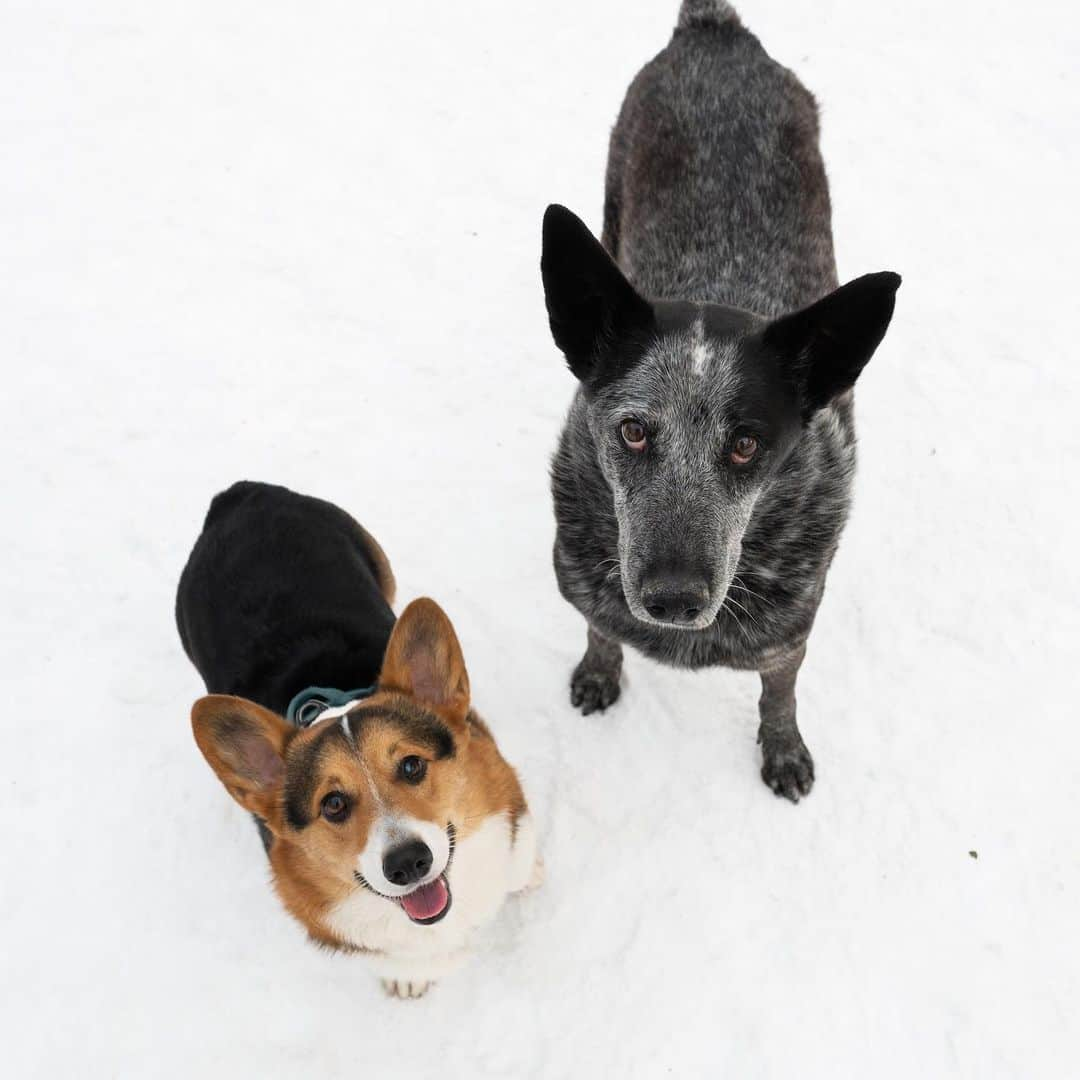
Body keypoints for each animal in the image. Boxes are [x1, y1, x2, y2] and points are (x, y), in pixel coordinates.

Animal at [540, 0, 902, 803]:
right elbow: (599, 628)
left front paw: (783, 752)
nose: (674, 598)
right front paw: (598, 673)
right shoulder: (584, 587)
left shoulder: (790, 635)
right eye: (633, 430)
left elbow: (779, 694)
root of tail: (715, 30)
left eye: (747, 444)